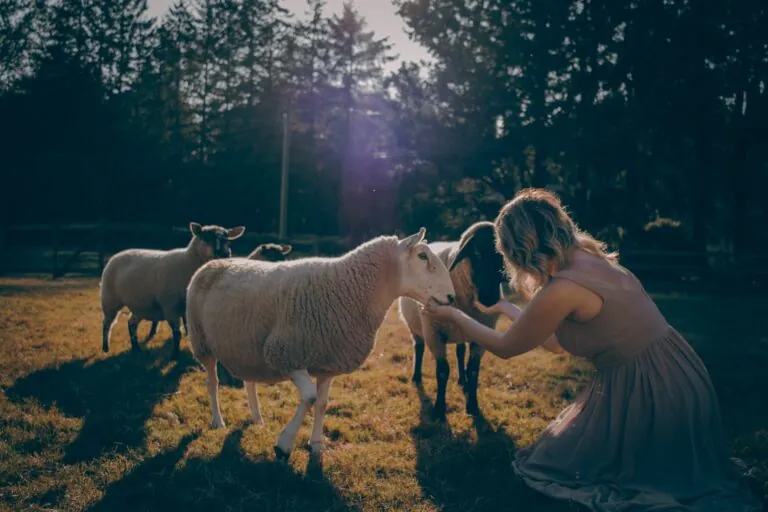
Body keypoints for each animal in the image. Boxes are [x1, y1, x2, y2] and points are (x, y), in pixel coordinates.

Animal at [98, 222, 243, 358]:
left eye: (228, 241)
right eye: (207, 238)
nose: (225, 254)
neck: (187, 261)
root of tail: (118, 254)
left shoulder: (187, 308)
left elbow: (188, 330)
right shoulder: (170, 306)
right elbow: (177, 333)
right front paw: (175, 355)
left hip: (140, 304)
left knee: (131, 323)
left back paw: (136, 348)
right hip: (110, 299)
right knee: (107, 323)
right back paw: (105, 348)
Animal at [184, 228, 456, 460]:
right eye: (422, 256)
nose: (451, 297)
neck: (349, 289)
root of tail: (212, 263)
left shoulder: (328, 362)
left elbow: (323, 403)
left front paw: (316, 444)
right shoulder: (286, 353)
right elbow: (310, 397)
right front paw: (284, 444)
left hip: (245, 346)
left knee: (248, 381)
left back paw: (257, 417)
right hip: (202, 342)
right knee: (212, 382)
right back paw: (218, 420)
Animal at [400, 223, 508, 420]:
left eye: (502, 255)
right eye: (477, 253)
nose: (491, 299)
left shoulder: (481, 336)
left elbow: (473, 370)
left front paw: (472, 406)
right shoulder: (434, 333)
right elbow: (442, 371)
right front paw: (439, 409)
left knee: (460, 351)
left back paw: (462, 380)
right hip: (416, 327)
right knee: (418, 348)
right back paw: (416, 376)